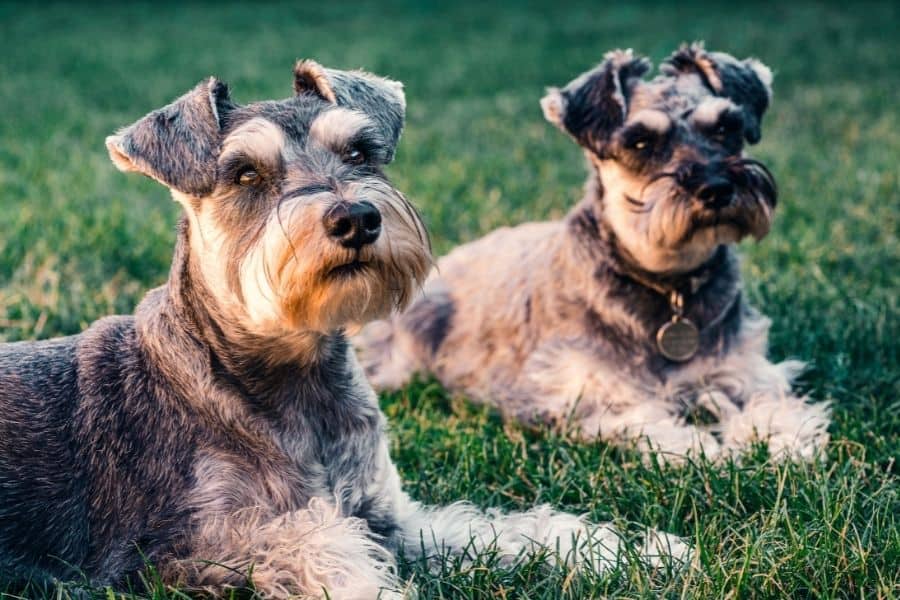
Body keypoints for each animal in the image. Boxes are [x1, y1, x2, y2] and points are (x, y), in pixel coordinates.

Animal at [0, 59, 684, 596]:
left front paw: (633, 550)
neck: (293, 379)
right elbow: (324, 550)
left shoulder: (390, 516)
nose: (355, 217)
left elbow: (503, 527)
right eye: (245, 173)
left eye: (359, 151)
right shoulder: (196, 549)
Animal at [356, 44, 828, 462]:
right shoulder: (587, 389)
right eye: (640, 143)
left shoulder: (747, 368)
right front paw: (702, 449)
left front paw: (782, 441)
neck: (669, 285)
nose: (716, 188)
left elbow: (773, 404)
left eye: (726, 128)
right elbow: (648, 419)